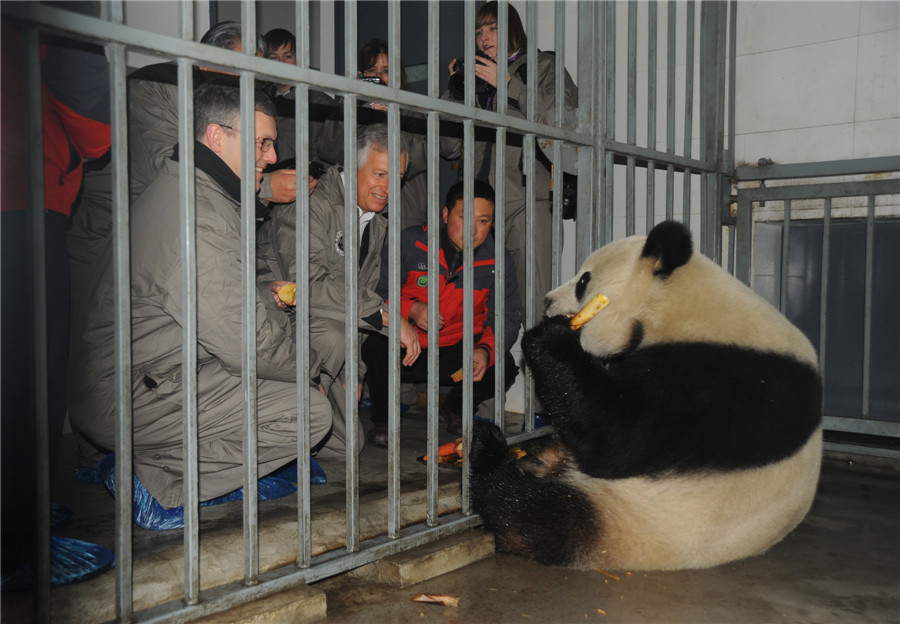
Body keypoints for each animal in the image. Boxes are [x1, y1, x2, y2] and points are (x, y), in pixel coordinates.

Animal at [472, 219, 824, 572]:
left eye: (584, 281)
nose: (546, 301)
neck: (685, 307)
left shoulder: (725, 382)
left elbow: (620, 437)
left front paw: (549, 337)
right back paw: (542, 453)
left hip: (635, 516)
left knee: (537, 513)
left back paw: (491, 452)